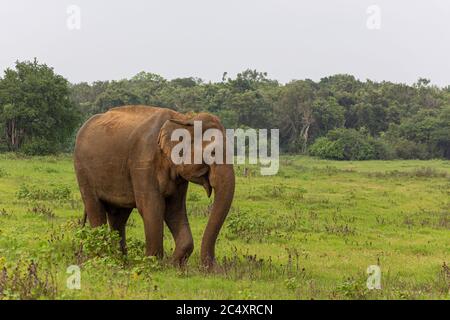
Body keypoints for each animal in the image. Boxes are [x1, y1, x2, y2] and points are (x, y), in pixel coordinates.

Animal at [74, 105, 236, 268]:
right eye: (213, 152)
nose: (211, 268)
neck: (184, 118)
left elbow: (174, 209)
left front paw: (174, 265)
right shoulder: (143, 162)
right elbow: (152, 206)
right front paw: (153, 264)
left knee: (118, 216)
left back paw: (119, 261)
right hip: (82, 171)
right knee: (96, 209)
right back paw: (101, 261)